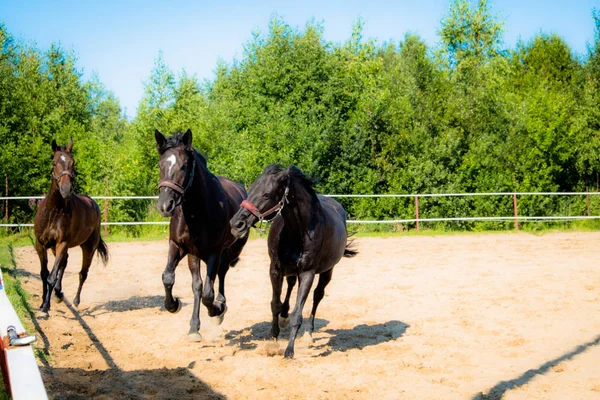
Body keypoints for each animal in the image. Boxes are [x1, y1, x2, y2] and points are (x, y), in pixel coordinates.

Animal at [34, 139, 109, 314]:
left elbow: (51, 276)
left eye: (73, 162)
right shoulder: (41, 244)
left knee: (82, 273)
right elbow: (44, 273)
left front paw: (46, 305)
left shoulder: (62, 243)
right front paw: (43, 302)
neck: (54, 211)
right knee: (64, 263)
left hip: (88, 248)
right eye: (54, 162)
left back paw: (74, 300)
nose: (66, 189)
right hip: (56, 248)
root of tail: (93, 203)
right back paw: (58, 293)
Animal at [155, 128, 251, 340]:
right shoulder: (179, 247)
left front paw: (216, 310)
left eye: (183, 167)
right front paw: (174, 305)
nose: (165, 206)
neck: (196, 210)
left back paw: (220, 306)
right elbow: (170, 278)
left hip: (232, 249)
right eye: (160, 165)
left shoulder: (214, 251)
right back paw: (195, 326)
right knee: (200, 283)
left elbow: (208, 293)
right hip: (197, 255)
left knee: (221, 273)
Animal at [227, 164, 354, 358]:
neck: (299, 231)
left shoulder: (307, 273)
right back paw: (285, 317)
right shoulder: (275, 269)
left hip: (327, 271)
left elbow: (298, 314)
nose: (236, 224)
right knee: (290, 286)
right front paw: (273, 337)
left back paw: (308, 332)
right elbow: (275, 304)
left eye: (267, 194)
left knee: (317, 296)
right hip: (291, 271)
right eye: (251, 189)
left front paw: (289, 350)